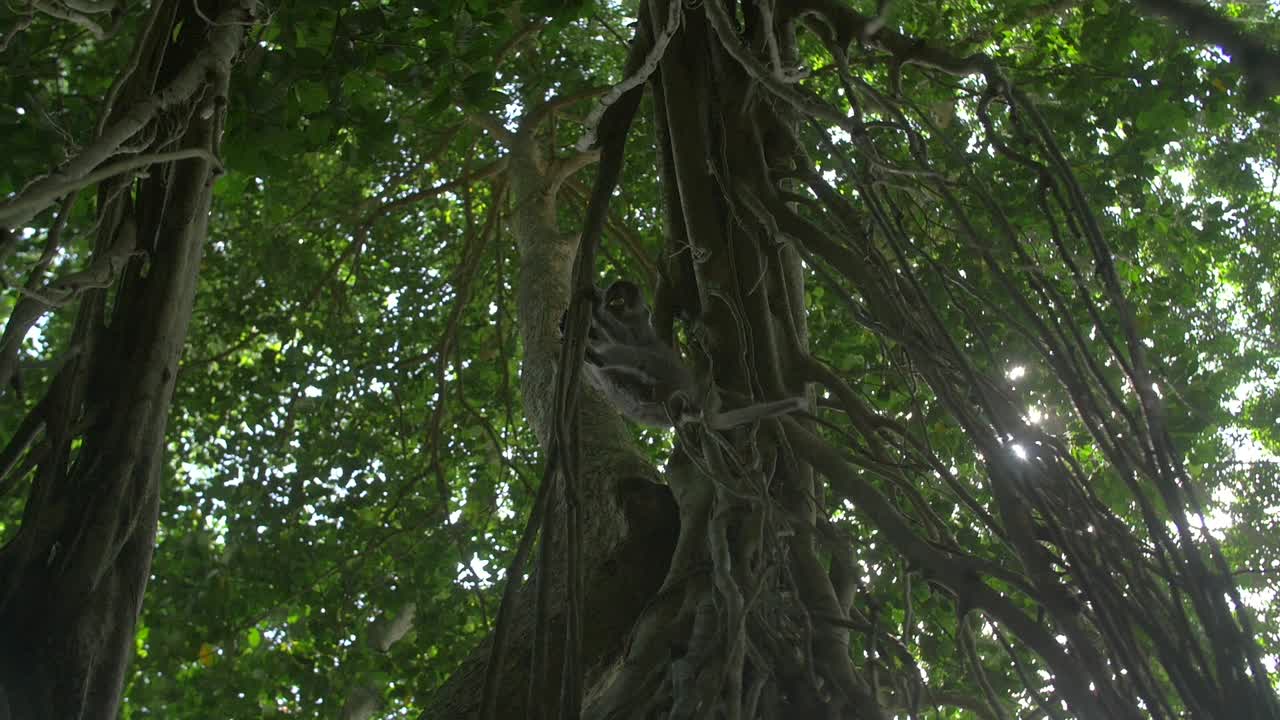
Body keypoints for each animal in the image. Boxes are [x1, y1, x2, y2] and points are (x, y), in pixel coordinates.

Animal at [563, 280, 807, 430]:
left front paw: (595, 304)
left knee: (639, 357)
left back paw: (598, 356)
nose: (614, 294)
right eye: (615, 290)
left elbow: (629, 340)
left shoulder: (639, 328)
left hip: (672, 375)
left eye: (626, 294)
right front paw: (572, 322)